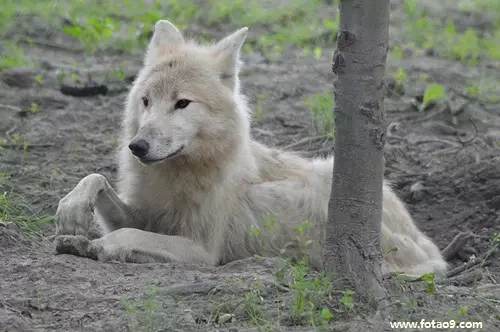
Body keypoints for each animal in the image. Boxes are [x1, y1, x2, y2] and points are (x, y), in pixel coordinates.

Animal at [54, 19, 450, 276]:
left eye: (182, 103)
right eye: (146, 101)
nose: (137, 146)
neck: (181, 173)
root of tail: (432, 249)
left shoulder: (202, 251)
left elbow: (126, 235)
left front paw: (94, 245)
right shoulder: (144, 213)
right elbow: (96, 179)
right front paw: (72, 213)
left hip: (323, 180)